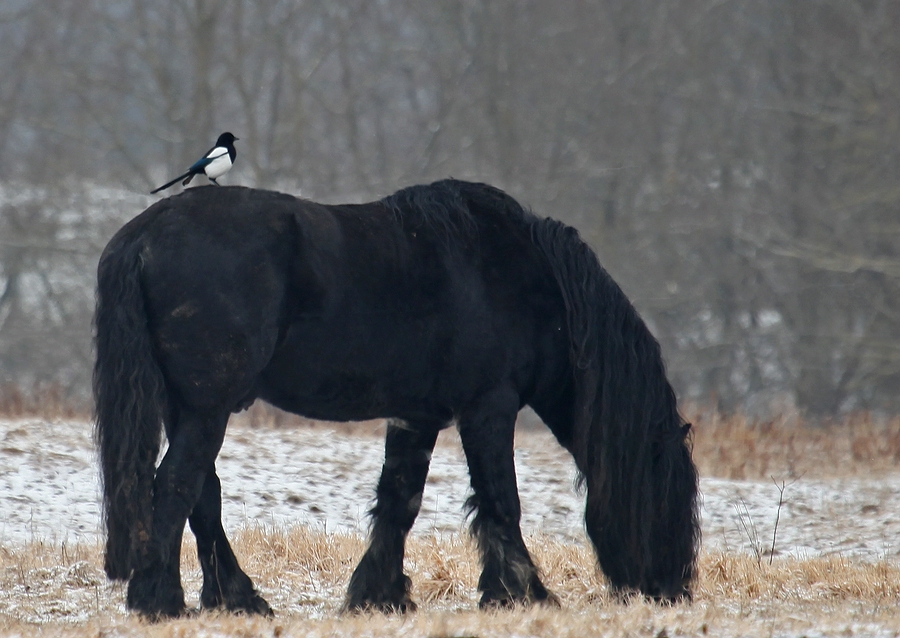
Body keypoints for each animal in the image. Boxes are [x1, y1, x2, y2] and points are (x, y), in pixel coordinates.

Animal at [95, 178, 700, 616]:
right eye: (668, 489)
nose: (672, 590)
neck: (525, 280)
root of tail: (144, 233)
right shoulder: (488, 407)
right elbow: (501, 500)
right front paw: (523, 594)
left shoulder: (416, 417)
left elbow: (399, 501)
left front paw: (377, 595)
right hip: (206, 408)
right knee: (177, 486)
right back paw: (161, 602)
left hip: (189, 407)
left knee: (202, 493)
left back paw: (237, 599)